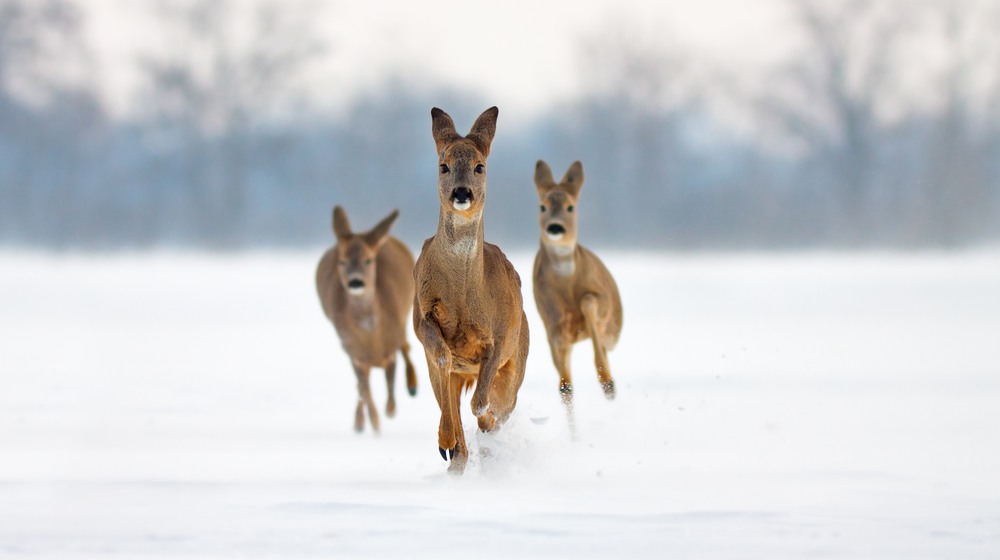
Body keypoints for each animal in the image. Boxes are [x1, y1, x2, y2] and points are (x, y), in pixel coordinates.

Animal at [316, 206, 418, 434]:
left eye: (368, 260)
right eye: (342, 261)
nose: (355, 282)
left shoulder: (390, 346)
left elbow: (390, 385)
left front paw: (390, 410)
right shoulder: (354, 353)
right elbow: (365, 390)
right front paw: (373, 423)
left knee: (406, 346)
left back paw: (413, 385)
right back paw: (360, 422)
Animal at [412, 106, 529, 474]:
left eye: (480, 166)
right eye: (443, 165)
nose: (462, 193)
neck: (464, 296)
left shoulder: (502, 335)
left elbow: (481, 403)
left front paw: (485, 425)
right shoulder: (421, 316)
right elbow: (442, 355)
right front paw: (447, 443)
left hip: (518, 360)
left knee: (499, 405)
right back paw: (451, 451)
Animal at [532, 160, 622, 419]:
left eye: (570, 207)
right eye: (542, 206)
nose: (555, 227)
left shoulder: (602, 300)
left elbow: (588, 301)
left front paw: (608, 384)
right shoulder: (551, 322)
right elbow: (565, 384)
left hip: (613, 330)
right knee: (567, 390)